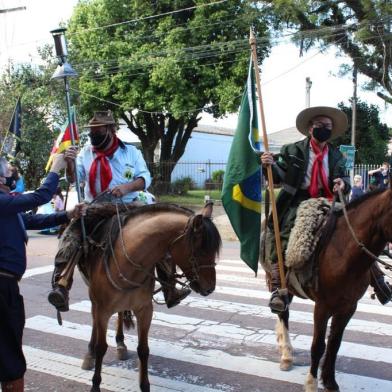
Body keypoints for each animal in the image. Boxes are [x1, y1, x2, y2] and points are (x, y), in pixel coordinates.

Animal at [74, 202, 219, 392]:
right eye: (200, 250)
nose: (210, 288)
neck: (127, 261)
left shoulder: (144, 310)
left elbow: (143, 349)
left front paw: (144, 385)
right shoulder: (103, 310)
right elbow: (101, 347)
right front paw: (95, 384)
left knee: (120, 314)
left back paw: (120, 344)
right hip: (95, 301)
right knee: (94, 321)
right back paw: (90, 354)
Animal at [272, 188, 392, 390]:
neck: (345, 255)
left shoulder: (348, 307)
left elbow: (335, 343)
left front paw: (329, 380)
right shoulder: (322, 307)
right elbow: (318, 346)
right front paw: (311, 383)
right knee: (283, 313)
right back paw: (287, 354)